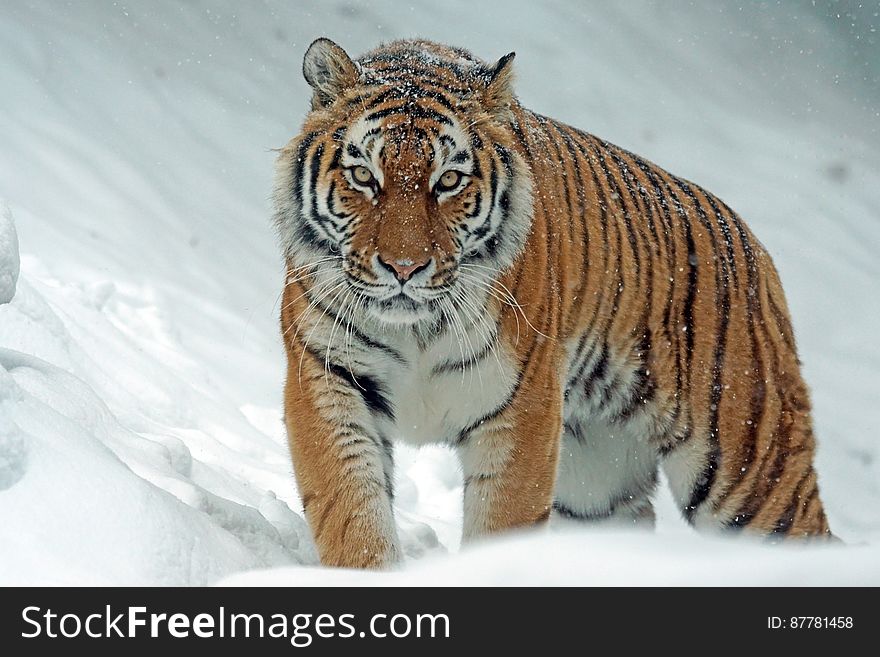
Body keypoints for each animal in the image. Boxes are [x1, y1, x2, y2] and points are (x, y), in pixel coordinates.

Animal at [274, 38, 832, 568]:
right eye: (364, 177)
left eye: (448, 181)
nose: (404, 268)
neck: (416, 329)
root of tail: (754, 247)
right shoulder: (327, 380)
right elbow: (352, 513)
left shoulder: (522, 409)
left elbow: (501, 525)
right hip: (596, 486)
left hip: (750, 471)